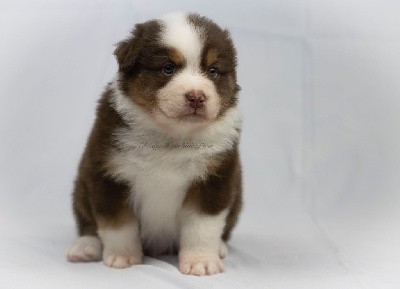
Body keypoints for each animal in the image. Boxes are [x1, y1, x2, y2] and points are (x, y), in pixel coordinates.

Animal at [66, 12, 242, 276]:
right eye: (168, 68)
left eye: (213, 71)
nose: (197, 97)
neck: (170, 138)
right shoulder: (107, 174)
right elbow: (117, 224)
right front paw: (123, 257)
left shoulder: (214, 179)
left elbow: (202, 226)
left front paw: (201, 261)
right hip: (81, 187)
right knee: (88, 224)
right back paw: (84, 247)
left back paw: (220, 247)